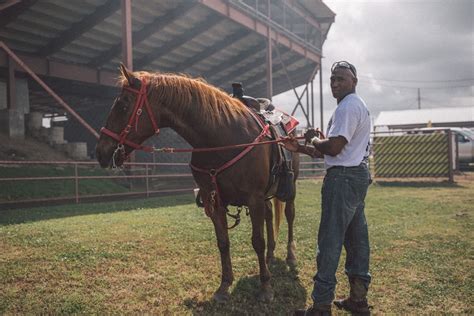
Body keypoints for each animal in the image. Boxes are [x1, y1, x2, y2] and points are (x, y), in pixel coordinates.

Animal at [94, 63, 298, 302]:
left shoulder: (254, 198)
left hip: (288, 190)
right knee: (269, 215)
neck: (222, 139)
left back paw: (290, 256)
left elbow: (257, 241)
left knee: (289, 215)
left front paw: (265, 287)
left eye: (124, 105)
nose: (101, 152)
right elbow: (223, 242)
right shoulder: (214, 199)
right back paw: (270, 255)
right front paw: (224, 286)